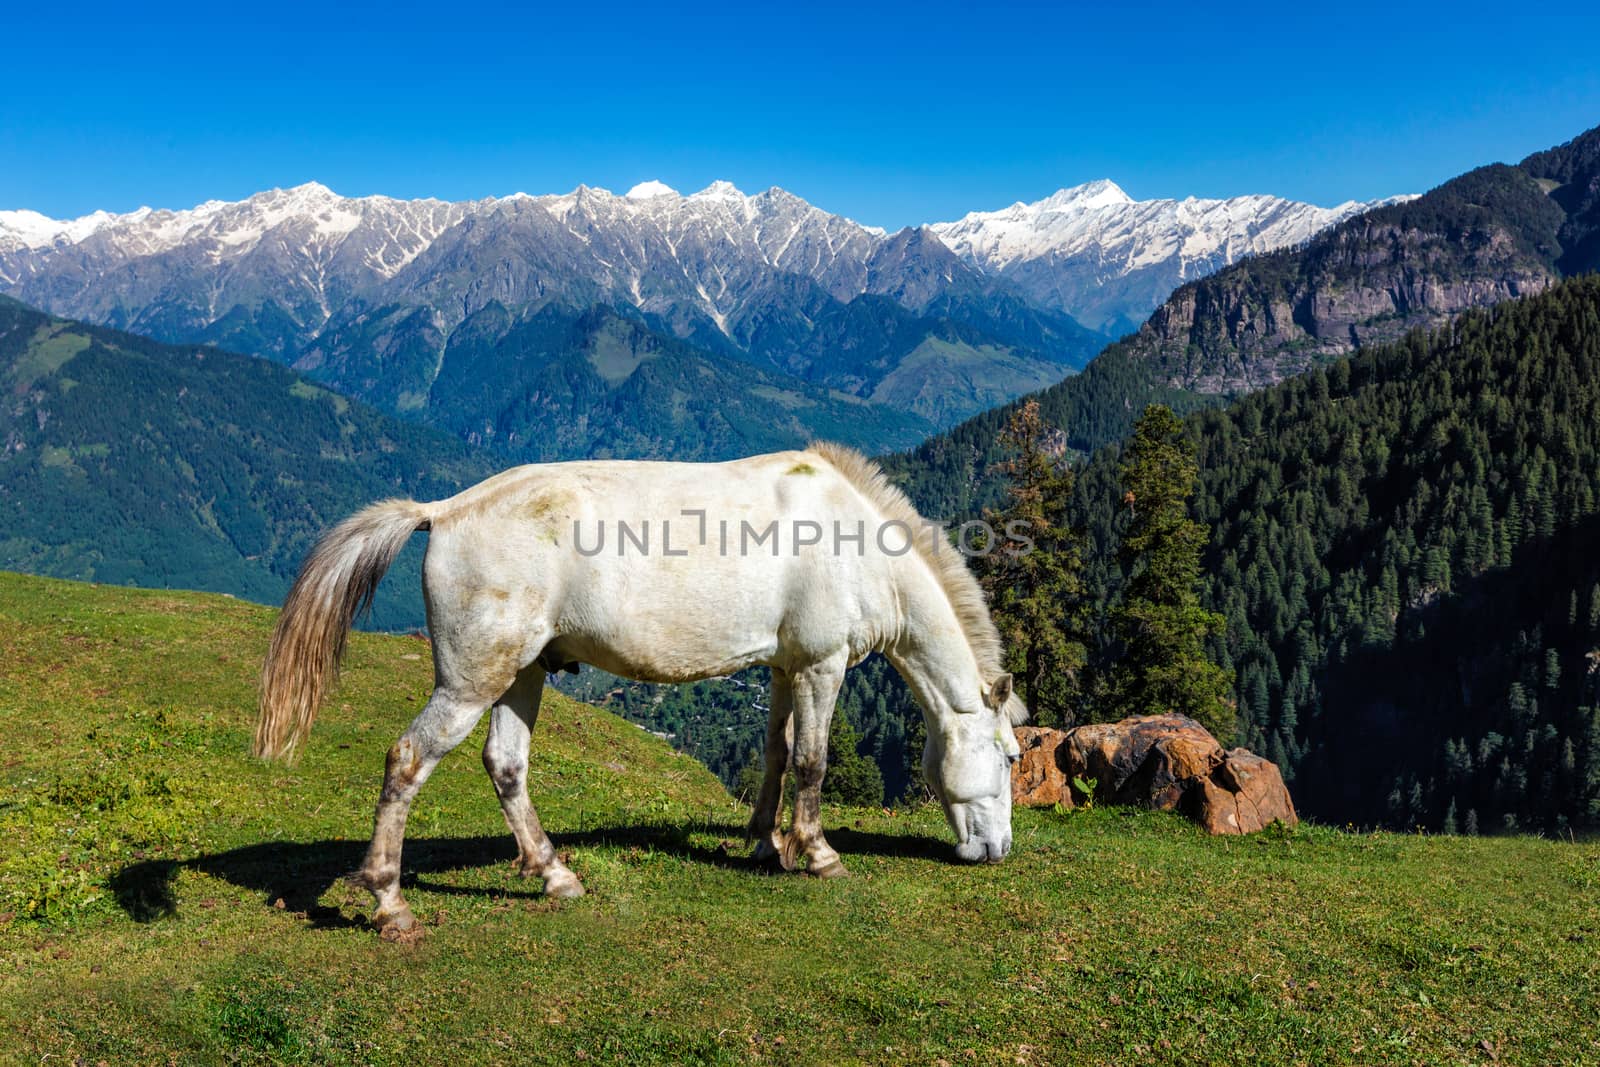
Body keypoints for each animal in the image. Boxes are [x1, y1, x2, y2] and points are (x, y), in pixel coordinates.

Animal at [252, 441, 1024, 934]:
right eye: (1012, 757)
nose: (998, 851)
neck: (856, 541)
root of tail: (444, 509)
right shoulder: (821, 665)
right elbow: (812, 762)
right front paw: (819, 854)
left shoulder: (784, 667)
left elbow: (775, 756)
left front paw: (763, 845)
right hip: (472, 682)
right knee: (409, 760)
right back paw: (391, 905)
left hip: (521, 674)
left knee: (506, 765)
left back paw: (555, 875)